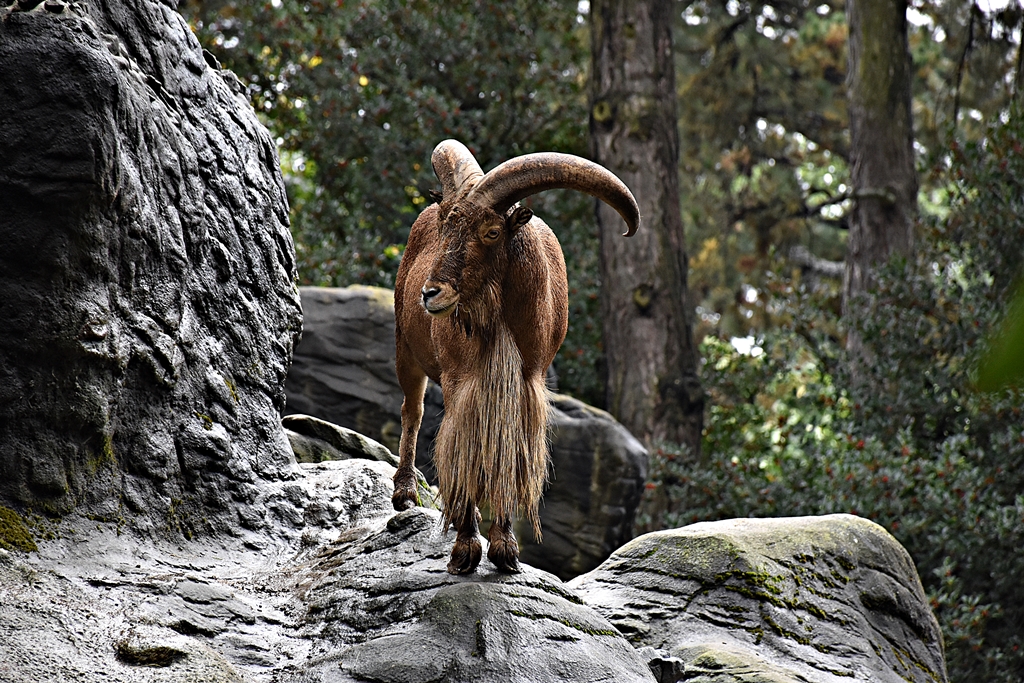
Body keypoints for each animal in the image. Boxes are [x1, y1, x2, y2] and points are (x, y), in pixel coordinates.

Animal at [391, 140, 639, 574]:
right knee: (413, 410)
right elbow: (468, 449)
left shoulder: (527, 381)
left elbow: (511, 451)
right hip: (406, 348)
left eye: (491, 232)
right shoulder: (462, 382)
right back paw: (405, 493)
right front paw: (465, 549)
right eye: (444, 227)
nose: (431, 293)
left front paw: (505, 549)